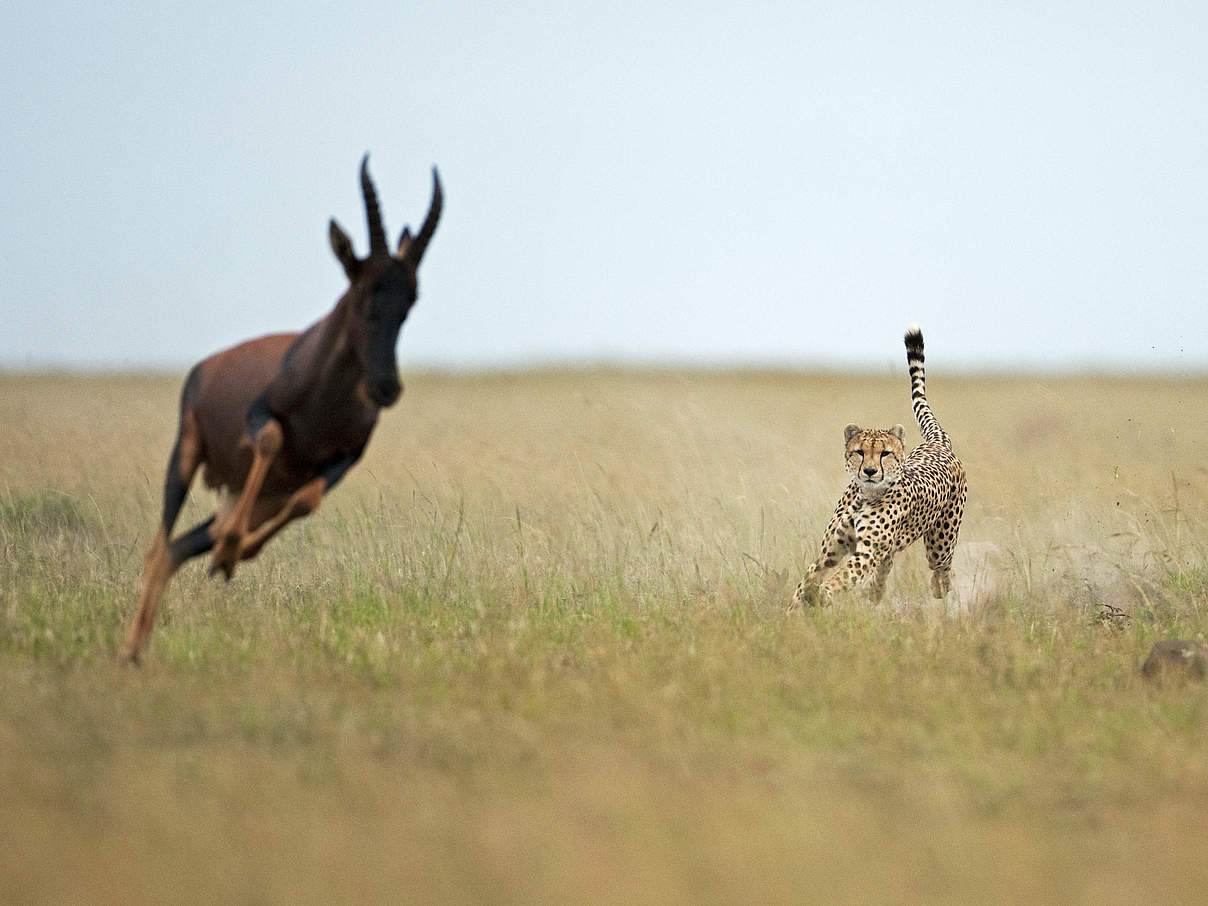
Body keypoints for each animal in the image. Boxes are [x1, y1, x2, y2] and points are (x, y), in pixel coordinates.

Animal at [792, 326, 971, 611]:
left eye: (885, 453)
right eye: (860, 452)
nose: (870, 472)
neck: (865, 495)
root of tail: (937, 443)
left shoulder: (866, 553)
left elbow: (841, 577)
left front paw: (823, 595)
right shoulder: (830, 550)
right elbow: (807, 579)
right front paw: (794, 609)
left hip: (940, 542)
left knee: (942, 570)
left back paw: (939, 589)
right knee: (888, 564)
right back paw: (876, 592)